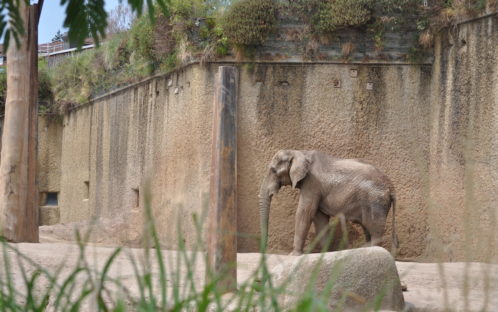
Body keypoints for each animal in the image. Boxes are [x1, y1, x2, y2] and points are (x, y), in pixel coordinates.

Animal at [258, 149, 398, 256]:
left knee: (374, 228)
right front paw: (325, 254)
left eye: (274, 171)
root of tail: (391, 187)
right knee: (367, 228)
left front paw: (293, 255)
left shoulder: (312, 182)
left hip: (375, 200)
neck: (300, 152)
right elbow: (319, 218)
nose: (264, 251)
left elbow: (305, 212)